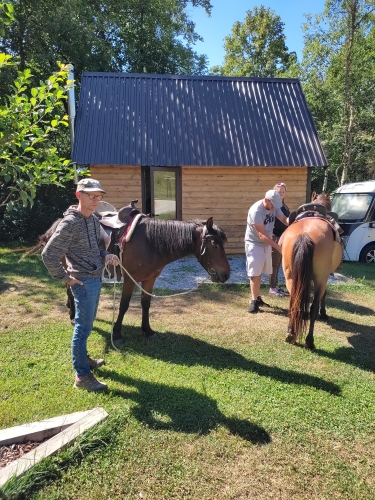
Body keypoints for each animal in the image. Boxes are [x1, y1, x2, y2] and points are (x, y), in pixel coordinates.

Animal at [282, 193, 344, 350]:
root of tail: (304, 234)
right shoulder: (324, 277)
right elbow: (323, 296)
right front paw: (324, 314)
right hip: (320, 278)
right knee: (313, 307)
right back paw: (310, 341)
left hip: (290, 278)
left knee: (294, 302)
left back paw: (290, 333)